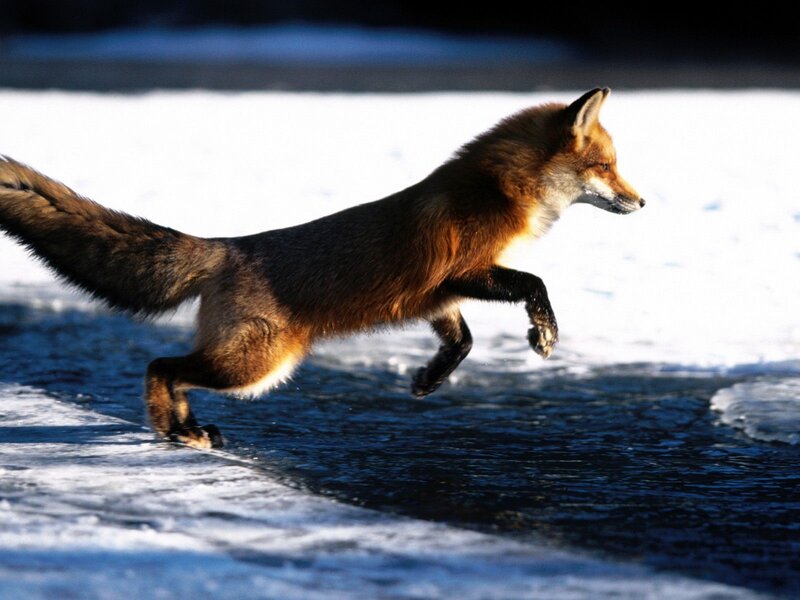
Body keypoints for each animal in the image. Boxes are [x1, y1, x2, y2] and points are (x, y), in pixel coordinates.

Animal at [0, 88, 643, 449]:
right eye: (607, 167)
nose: (642, 203)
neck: (500, 190)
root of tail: (228, 245)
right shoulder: (459, 272)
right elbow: (534, 285)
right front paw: (544, 333)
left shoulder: (437, 298)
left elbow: (461, 342)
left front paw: (428, 380)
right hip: (255, 367)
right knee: (162, 365)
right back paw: (176, 427)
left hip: (251, 366)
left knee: (171, 369)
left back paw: (184, 427)